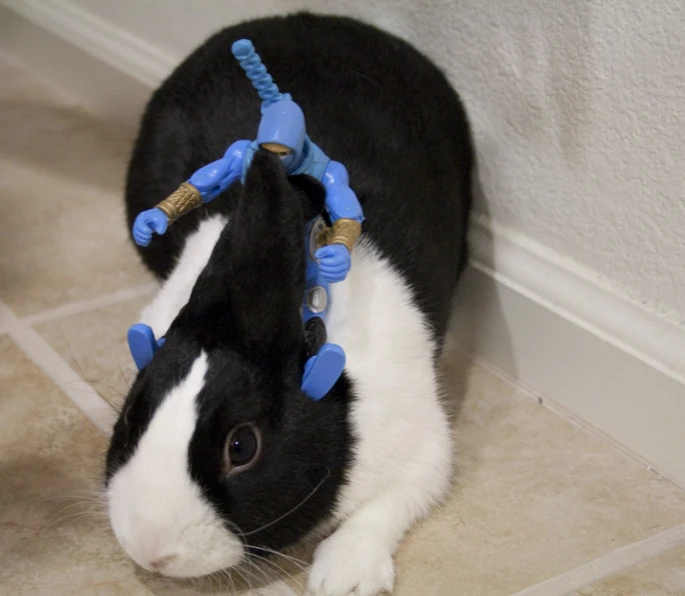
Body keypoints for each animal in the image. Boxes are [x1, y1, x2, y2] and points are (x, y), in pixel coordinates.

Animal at [105, 10, 470, 596]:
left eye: (241, 447)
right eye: (135, 410)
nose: (150, 550)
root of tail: (312, 19)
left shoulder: (426, 448)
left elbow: (387, 505)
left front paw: (346, 576)